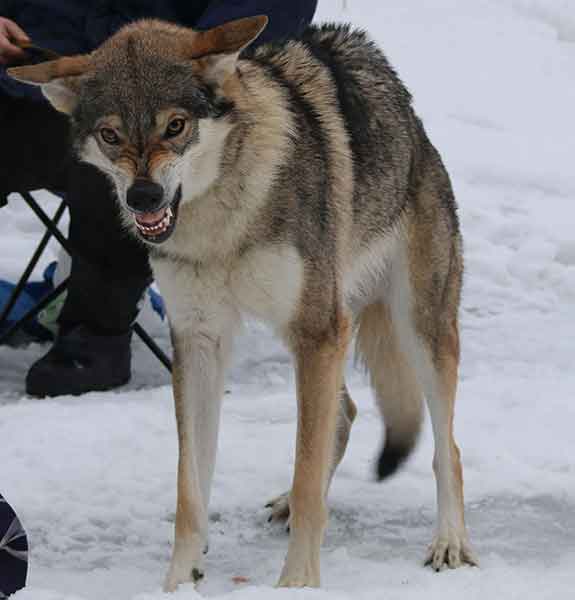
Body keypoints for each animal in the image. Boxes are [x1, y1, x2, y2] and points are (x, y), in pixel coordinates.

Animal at [9, 14, 480, 592]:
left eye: (176, 126)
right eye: (111, 134)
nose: (144, 198)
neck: (222, 222)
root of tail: (411, 118)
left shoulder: (316, 331)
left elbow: (308, 475)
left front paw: (298, 585)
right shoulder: (200, 341)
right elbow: (191, 490)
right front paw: (178, 583)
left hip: (412, 331)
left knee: (446, 449)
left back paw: (449, 542)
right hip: (320, 331)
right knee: (344, 413)